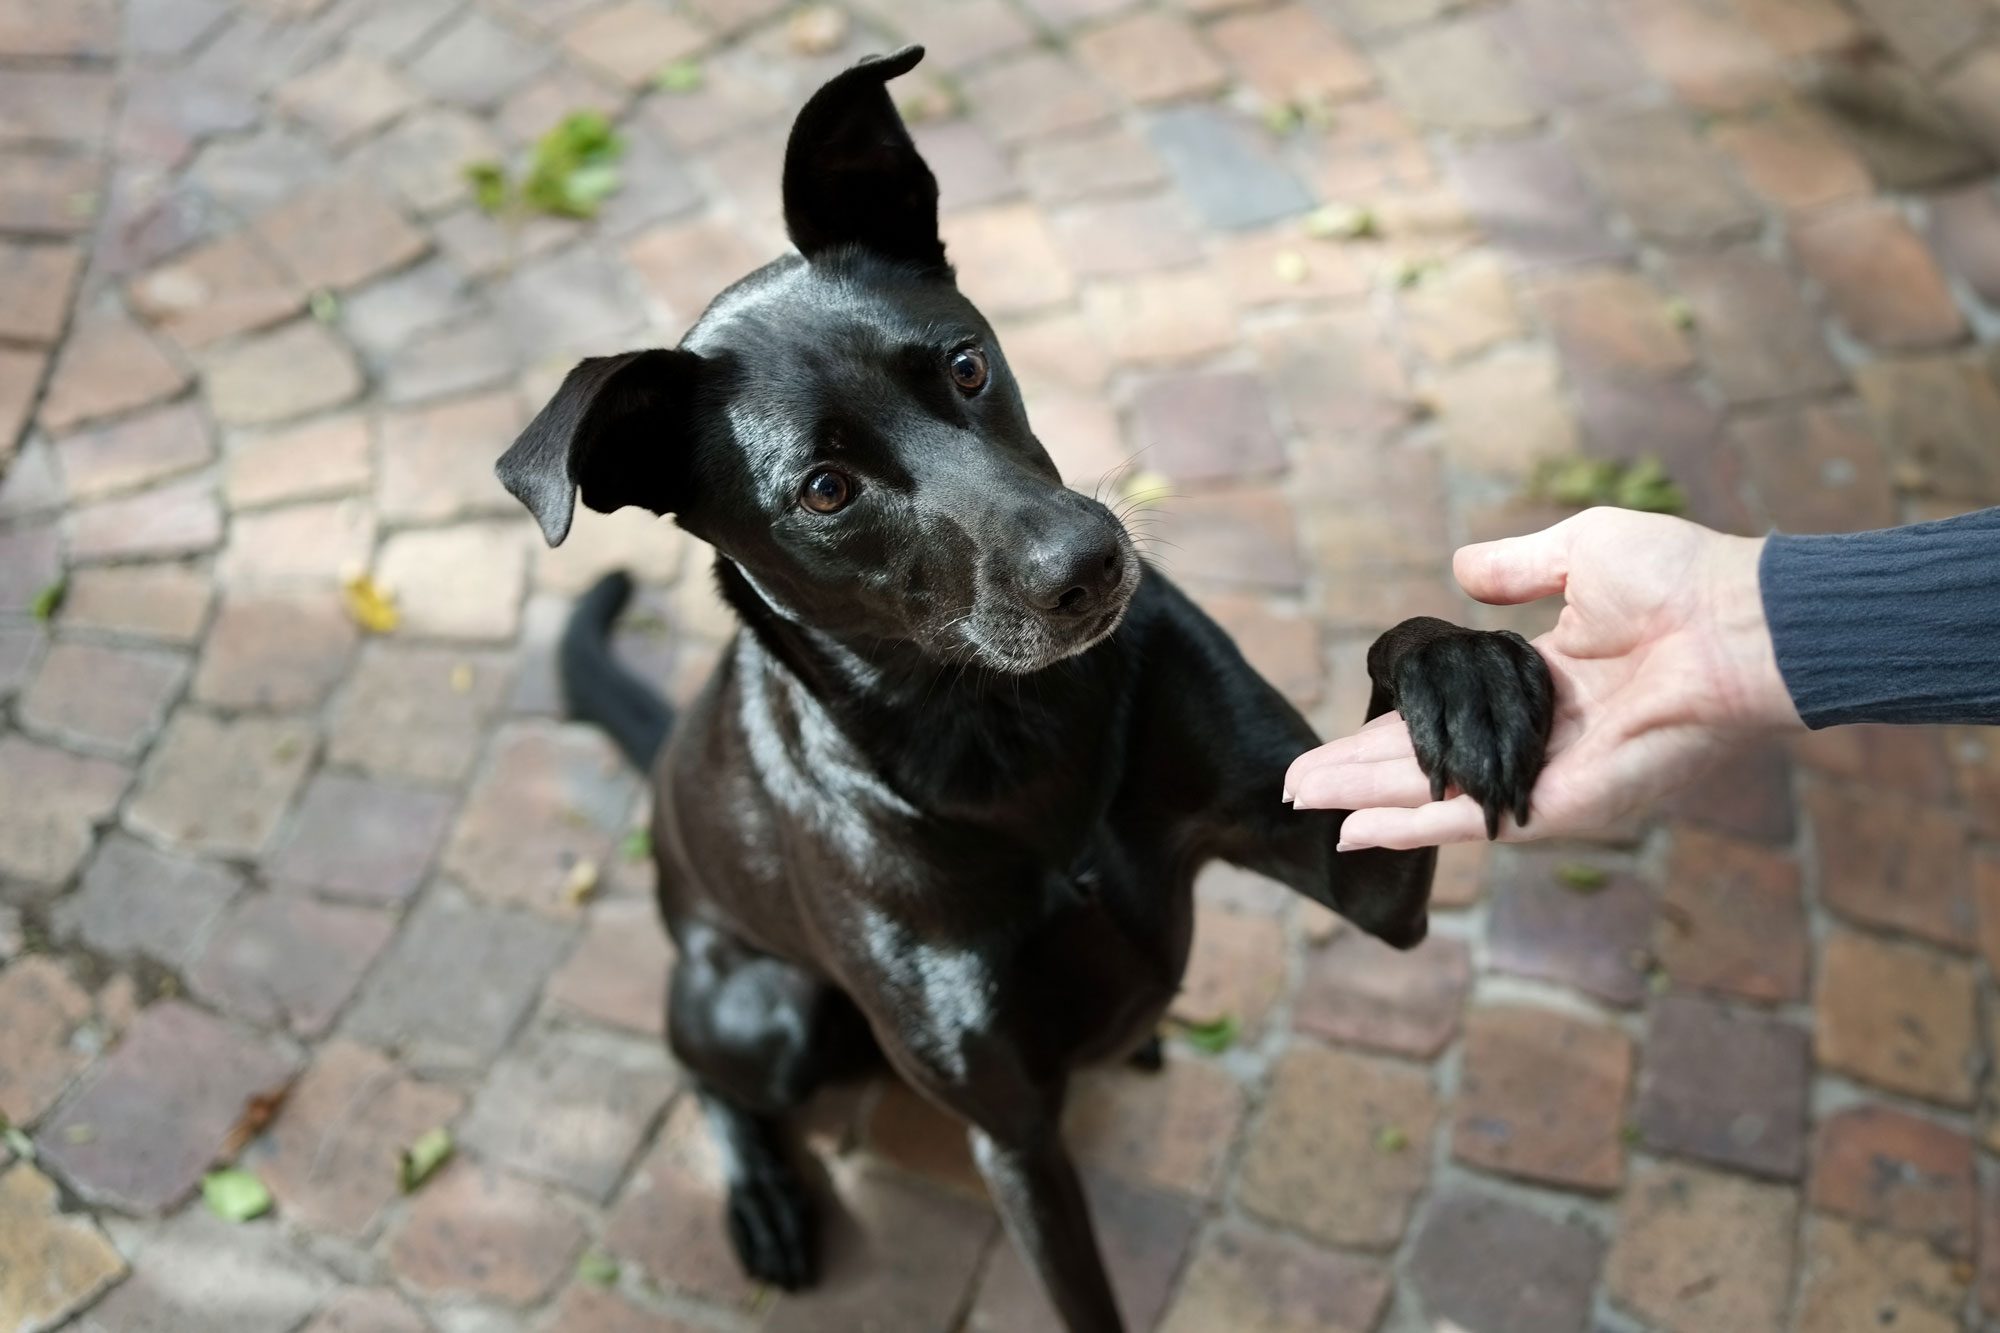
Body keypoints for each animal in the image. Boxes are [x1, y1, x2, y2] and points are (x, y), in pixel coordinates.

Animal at [492, 44, 1552, 1328]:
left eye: (965, 365)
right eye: (825, 489)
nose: (1088, 564)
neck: (1006, 730)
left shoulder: (1350, 872)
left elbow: (1401, 669)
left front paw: (1465, 675)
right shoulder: (1014, 1133)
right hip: (764, 1011)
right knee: (697, 1064)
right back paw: (759, 1191)